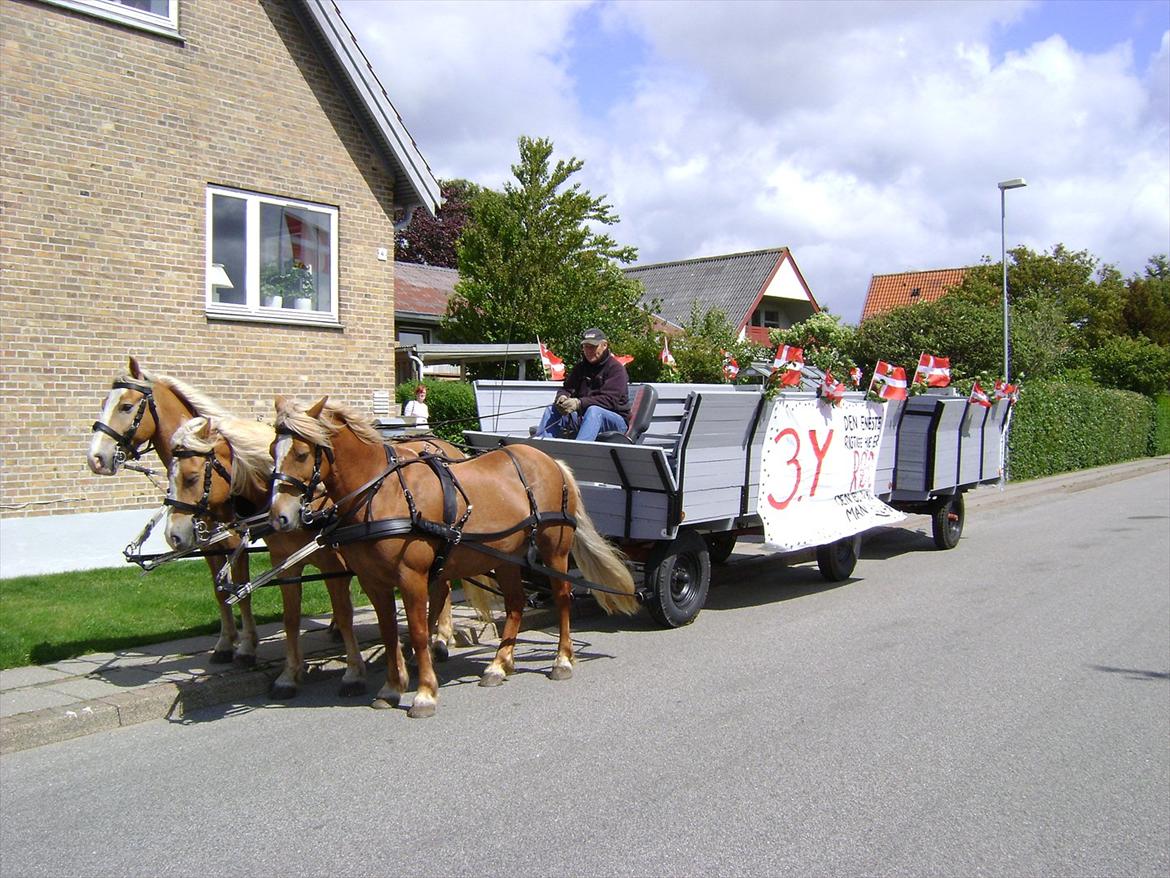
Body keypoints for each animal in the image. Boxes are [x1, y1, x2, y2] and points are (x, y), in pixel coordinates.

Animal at [85, 358, 258, 664]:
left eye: (125, 406)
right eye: (104, 402)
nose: (95, 458)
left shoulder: (236, 540)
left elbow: (242, 591)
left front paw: (247, 646)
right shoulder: (206, 543)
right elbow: (218, 591)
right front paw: (225, 643)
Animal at [267, 398, 641, 721]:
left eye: (301, 453)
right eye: (272, 451)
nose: (279, 517)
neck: (383, 492)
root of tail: (552, 463)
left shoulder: (411, 577)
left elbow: (418, 631)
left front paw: (424, 693)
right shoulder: (373, 581)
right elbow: (389, 632)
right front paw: (391, 688)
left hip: (555, 551)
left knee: (563, 598)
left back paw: (562, 660)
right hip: (508, 556)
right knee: (516, 604)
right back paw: (499, 664)